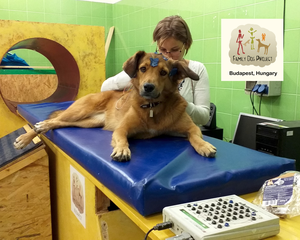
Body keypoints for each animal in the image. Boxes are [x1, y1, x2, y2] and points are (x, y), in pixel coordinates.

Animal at [14, 51, 217, 162]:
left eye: (164, 72)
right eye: (143, 69)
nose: (148, 87)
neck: (153, 107)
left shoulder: (189, 127)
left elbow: (195, 136)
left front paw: (204, 145)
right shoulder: (122, 128)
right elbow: (122, 139)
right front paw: (122, 150)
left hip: (89, 123)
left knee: (60, 123)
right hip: (80, 111)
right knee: (54, 119)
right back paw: (27, 136)